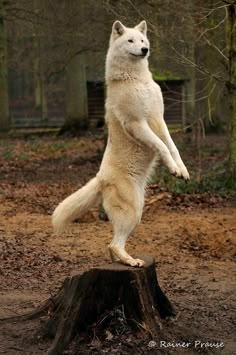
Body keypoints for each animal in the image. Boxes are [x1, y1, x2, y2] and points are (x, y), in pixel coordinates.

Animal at [52, 20, 190, 268]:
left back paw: (123, 260)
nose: (144, 50)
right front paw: (173, 169)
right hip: (132, 212)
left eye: (142, 40)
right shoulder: (138, 124)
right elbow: (162, 146)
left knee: (112, 246)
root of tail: (100, 178)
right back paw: (131, 261)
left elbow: (172, 146)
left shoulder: (160, 120)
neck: (135, 79)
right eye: (130, 41)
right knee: (113, 243)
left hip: (138, 212)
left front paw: (181, 170)